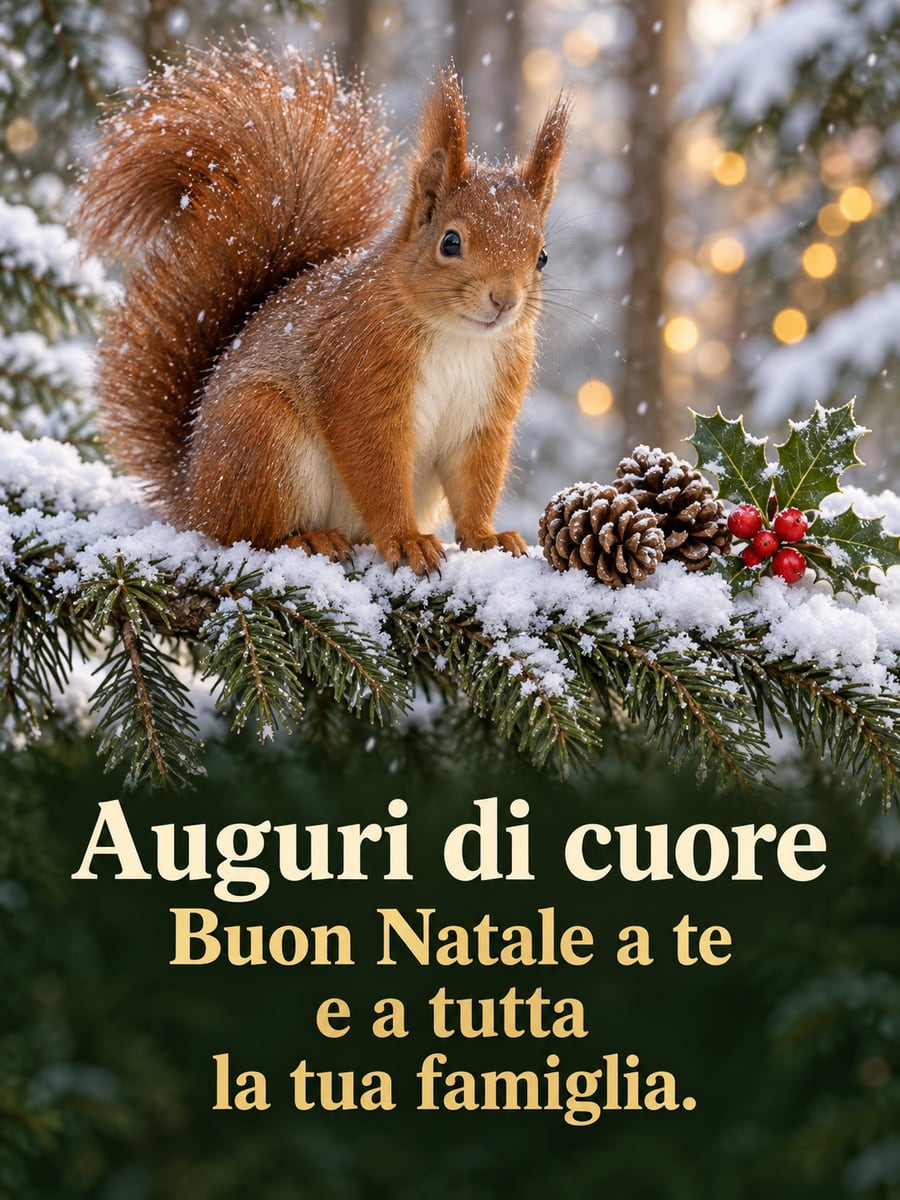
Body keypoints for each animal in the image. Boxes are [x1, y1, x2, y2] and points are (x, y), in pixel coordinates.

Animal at [78, 42, 570, 575]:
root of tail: (191, 495)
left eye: (542, 256)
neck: (459, 338)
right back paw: (308, 540)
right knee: (242, 535)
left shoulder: (486, 418)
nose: (504, 300)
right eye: (451, 242)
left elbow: (475, 482)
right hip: (263, 436)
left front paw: (486, 537)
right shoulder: (357, 374)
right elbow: (376, 470)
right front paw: (406, 540)